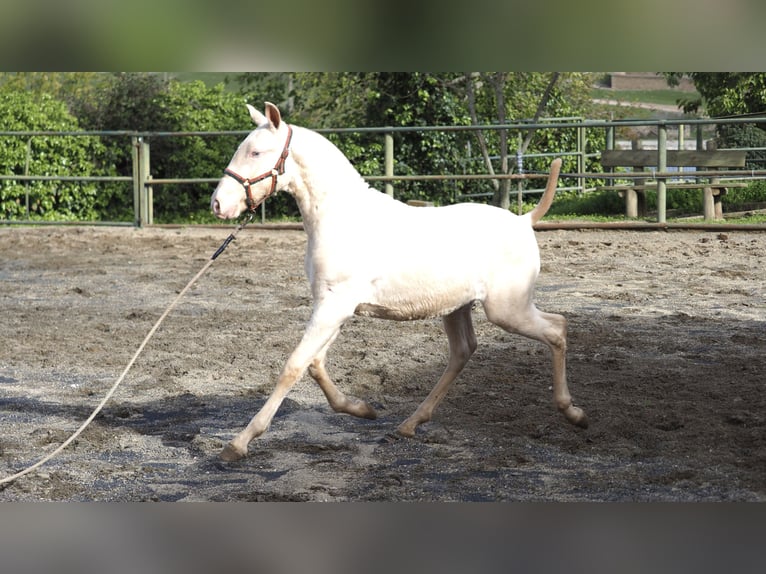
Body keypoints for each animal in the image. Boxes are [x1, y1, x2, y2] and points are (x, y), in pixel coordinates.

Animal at [210, 102, 588, 464]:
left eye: (256, 152)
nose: (218, 204)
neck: (341, 218)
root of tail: (524, 220)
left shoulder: (334, 306)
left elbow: (294, 366)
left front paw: (239, 443)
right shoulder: (333, 306)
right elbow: (315, 365)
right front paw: (361, 409)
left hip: (507, 309)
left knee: (557, 328)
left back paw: (574, 413)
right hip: (458, 308)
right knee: (464, 350)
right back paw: (410, 424)